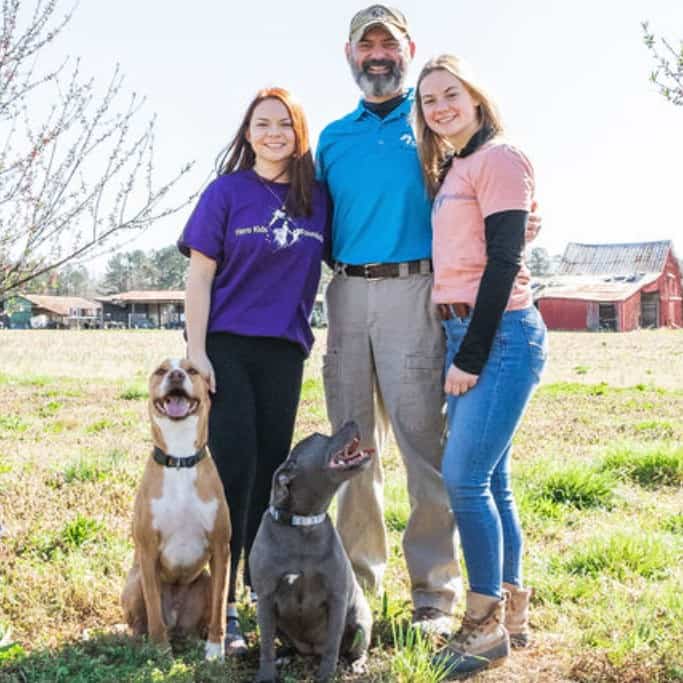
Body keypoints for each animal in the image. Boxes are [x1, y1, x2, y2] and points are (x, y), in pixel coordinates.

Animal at [120, 360, 230, 660]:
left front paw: (215, 649)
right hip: (133, 581)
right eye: (160, 371)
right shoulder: (147, 552)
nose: (177, 375)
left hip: (204, 580)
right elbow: (153, 608)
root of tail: (177, 623)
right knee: (144, 622)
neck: (180, 459)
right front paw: (160, 650)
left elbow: (220, 606)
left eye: (192, 370)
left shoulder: (220, 549)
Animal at [248, 422, 374, 683]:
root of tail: (310, 651)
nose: (352, 422)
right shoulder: (265, 598)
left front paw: (326, 675)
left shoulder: (337, 597)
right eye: (318, 436)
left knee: (355, 648)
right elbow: (266, 644)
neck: (303, 526)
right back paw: (285, 655)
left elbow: (332, 645)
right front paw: (266, 675)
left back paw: (357, 664)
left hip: (360, 620)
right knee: (283, 644)